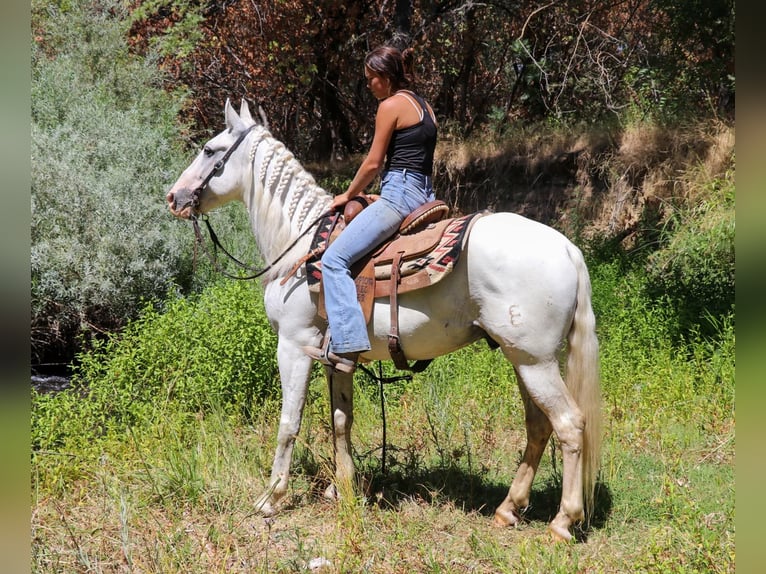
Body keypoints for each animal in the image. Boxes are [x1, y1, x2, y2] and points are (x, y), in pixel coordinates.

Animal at [168, 97, 608, 544]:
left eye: (209, 149)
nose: (174, 196)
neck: (300, 245)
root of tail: (568, 248)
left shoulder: (293, 345)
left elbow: (289, 422)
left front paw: (270, 498)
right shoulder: (336, 357)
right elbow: (341, 420)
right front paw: (344, 489)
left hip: (535, 362)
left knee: (570, 425)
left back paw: (563, 522)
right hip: (524, 358)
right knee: (539, 426)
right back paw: (508, 509)